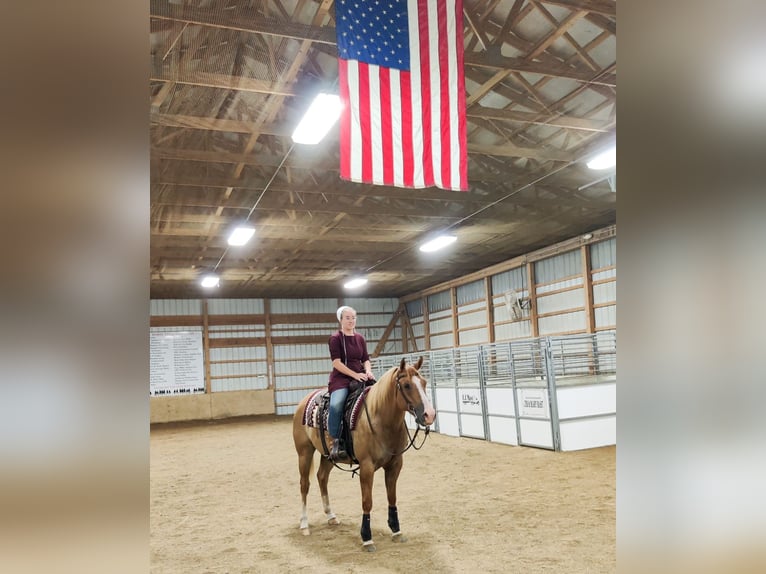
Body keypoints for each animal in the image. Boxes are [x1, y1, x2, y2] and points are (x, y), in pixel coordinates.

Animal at [294, 358, 436, 552]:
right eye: (407, 385)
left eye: (424, 383)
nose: (430, 415)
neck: (380, 418)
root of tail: (304, 400)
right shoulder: (367, 467)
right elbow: (367, 501)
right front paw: (367, 538)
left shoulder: (395, 464)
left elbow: (392, 497)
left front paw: (396, 530)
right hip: (304, 452)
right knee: (304, 485)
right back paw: (304, 524)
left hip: (327, 455)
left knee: (322, 477)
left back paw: (331, 516)